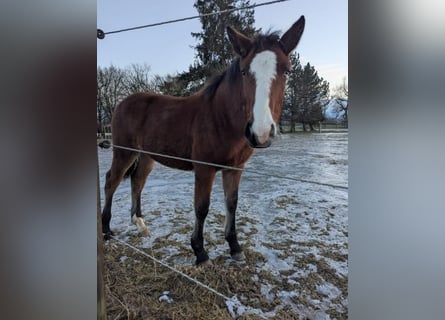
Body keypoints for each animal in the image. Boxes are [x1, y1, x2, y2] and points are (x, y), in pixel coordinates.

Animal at [102, 16, 306, 264]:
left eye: (287, 71)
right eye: (244, 71)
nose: (261, 132)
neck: (220, 117)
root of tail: (122, 102)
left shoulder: (235, 168)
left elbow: (232, 203)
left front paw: (235, 247)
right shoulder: (204, 168)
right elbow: (201, 207)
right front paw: (200, 252)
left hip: (147, 156)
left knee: (137, 181)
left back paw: (140, 224)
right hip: (124, 152)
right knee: (111, 181)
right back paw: (106, 230)